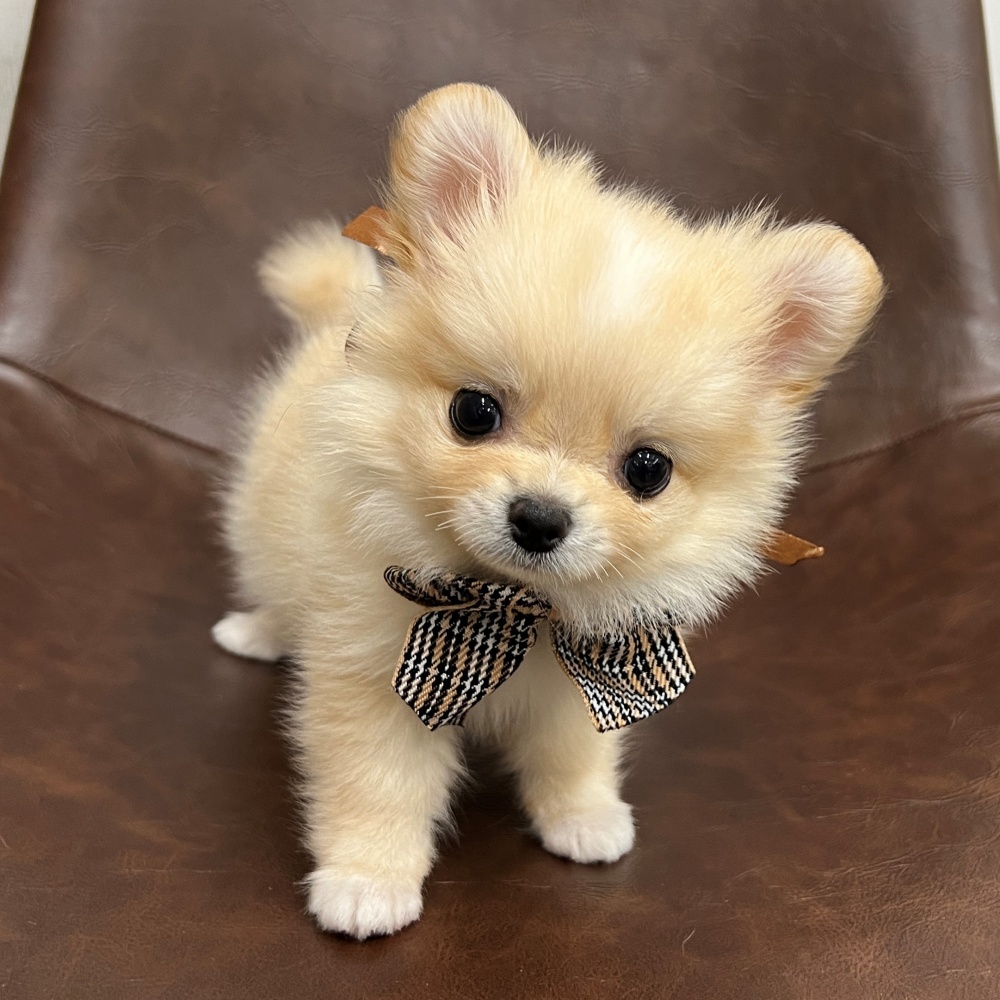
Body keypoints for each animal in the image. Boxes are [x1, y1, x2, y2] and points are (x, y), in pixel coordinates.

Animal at [213, 83, 883, 938]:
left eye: (648, 470)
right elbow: (377, 787)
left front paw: (585, 819)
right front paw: (366, 880)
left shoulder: (583, 686)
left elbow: (573, 758)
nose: (539, 518)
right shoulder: (370, 683)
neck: (514, 610)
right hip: (261, 528)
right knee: (272, 584)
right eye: (473, 412)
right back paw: (258, 632)